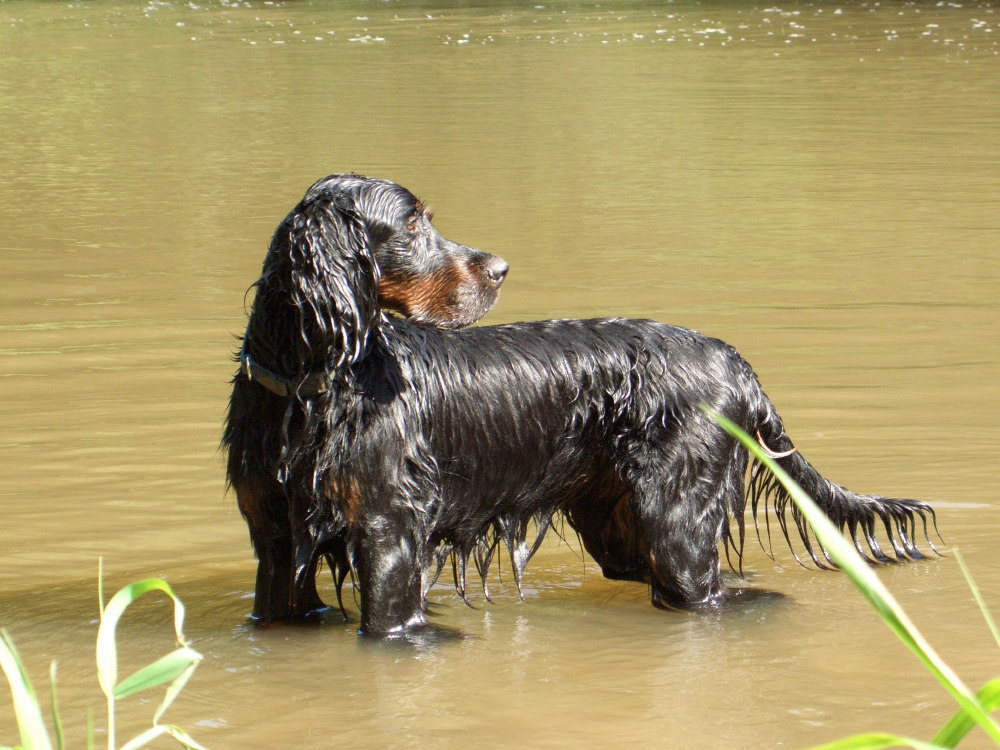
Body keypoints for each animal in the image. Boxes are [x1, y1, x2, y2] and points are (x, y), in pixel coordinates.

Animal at [221, 175, 936, 636]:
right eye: (414, 223)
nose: (501, 268)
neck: (308, 388)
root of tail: (731, 356)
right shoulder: (275, 539)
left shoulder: (388, 531)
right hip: (617, 523)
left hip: (679, 525)